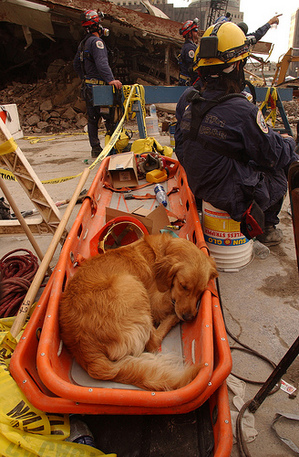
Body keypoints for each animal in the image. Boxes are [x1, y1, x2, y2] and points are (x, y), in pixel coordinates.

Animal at [59, 233, 218, 390]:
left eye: (201, 291)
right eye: (183, 286)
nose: (189, 317)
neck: (161, 252)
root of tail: (87, 355)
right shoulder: (156, 301)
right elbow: (171, 303)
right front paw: (175, 311)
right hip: (132, 285)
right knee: (153, 342)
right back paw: (172, 319)